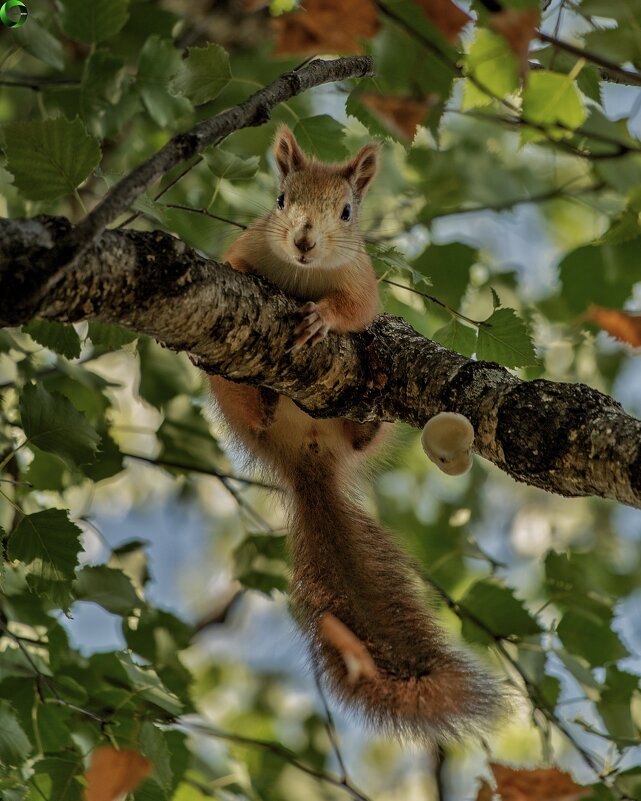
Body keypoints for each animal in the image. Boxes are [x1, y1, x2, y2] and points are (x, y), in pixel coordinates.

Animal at [208, 125, 502, 744]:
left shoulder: (360, 282)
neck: (302, 276)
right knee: (245, 402)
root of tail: (305, 457)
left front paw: (322, 318)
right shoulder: (243, 248)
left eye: (346, 211)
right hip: (227, 391)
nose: (302, 241)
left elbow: (356, 309)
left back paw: (362, 426)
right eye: (280, 200)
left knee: (364, 429)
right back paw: (261, 401)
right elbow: (236, 263)